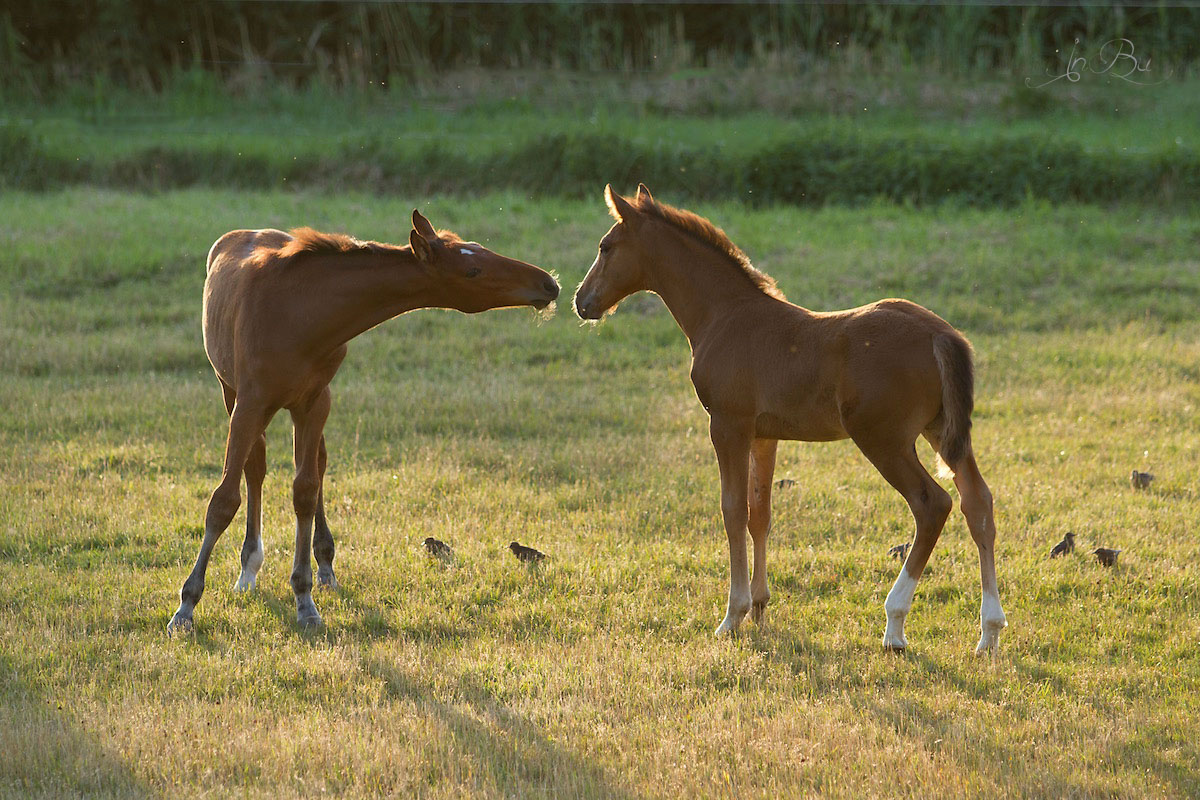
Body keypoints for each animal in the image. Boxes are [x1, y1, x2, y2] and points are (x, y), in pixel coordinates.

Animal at [169, 209, 561, 633]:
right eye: (472, 269)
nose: (549, 283)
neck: (299, 313)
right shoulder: (249, 403)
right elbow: (224, 500)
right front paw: (186, 606)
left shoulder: (314, 403)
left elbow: (305, 490)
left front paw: (305, 599)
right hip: (232, 392)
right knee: (255, 468)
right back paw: (249, 569)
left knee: (314, 467)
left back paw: (322, 565)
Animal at [576, 188, 1008, 657]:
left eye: (605, 247)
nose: (581, 301)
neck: (724, 316)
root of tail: (939, 334)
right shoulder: (764, 436)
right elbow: (760, 514)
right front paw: (760, 607)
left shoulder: (727, 426)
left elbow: (732, 510)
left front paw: (732, 616)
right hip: (941, 431)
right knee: (977, 503)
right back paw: (989, 631)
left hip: (884, 439)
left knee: (932, 504)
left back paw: (894, 625)